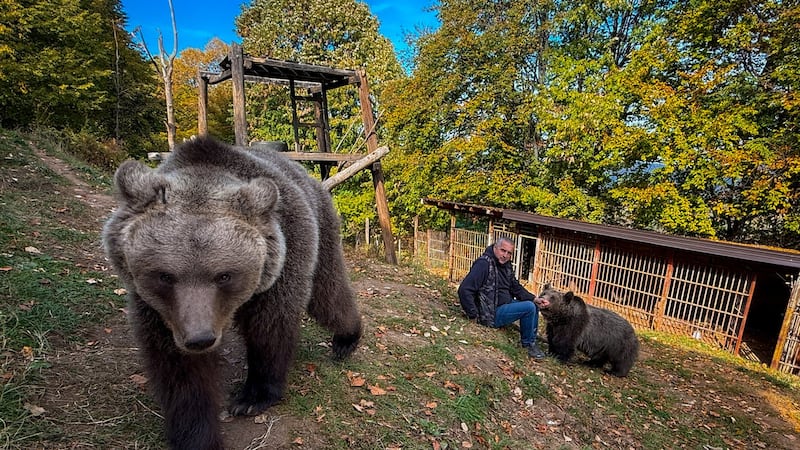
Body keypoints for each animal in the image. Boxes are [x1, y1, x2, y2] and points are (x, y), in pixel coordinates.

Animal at [102, 137, 362, 450]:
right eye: (164, 276)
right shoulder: (160, 312)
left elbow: (270, 329)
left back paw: (346, 338)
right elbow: (180, 370)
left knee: (327, 293)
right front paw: (196, 434)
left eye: (224, 275)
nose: (200, 338)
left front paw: (252, 397)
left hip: (322, 229)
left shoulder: (283, 262)